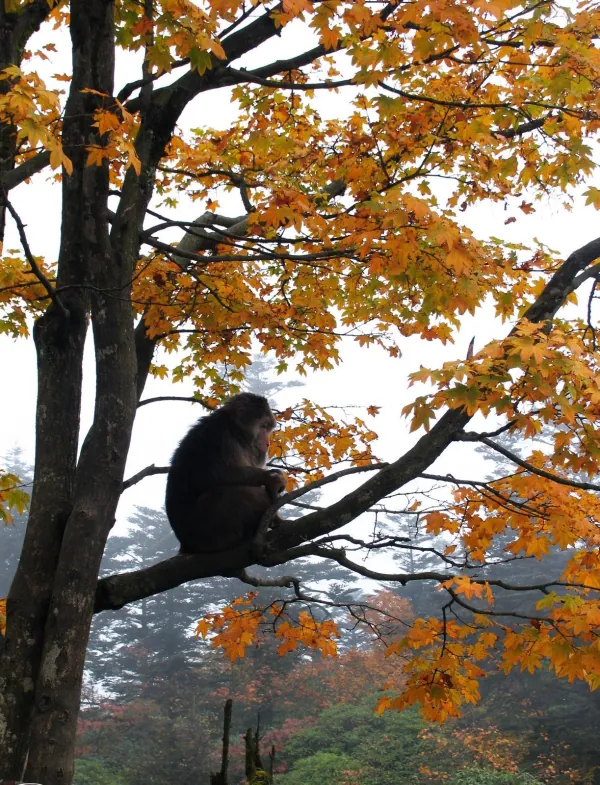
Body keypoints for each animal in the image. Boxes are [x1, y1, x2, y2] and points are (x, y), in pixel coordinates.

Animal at [164, 392, 286, 552]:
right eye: (263, 427)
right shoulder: (219, 434)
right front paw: (271, 478)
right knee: (228, 491)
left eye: (268, 428)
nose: (267, 443)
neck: (236, 432)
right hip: (204, 531)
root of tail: (186, 544)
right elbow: (215, 474)